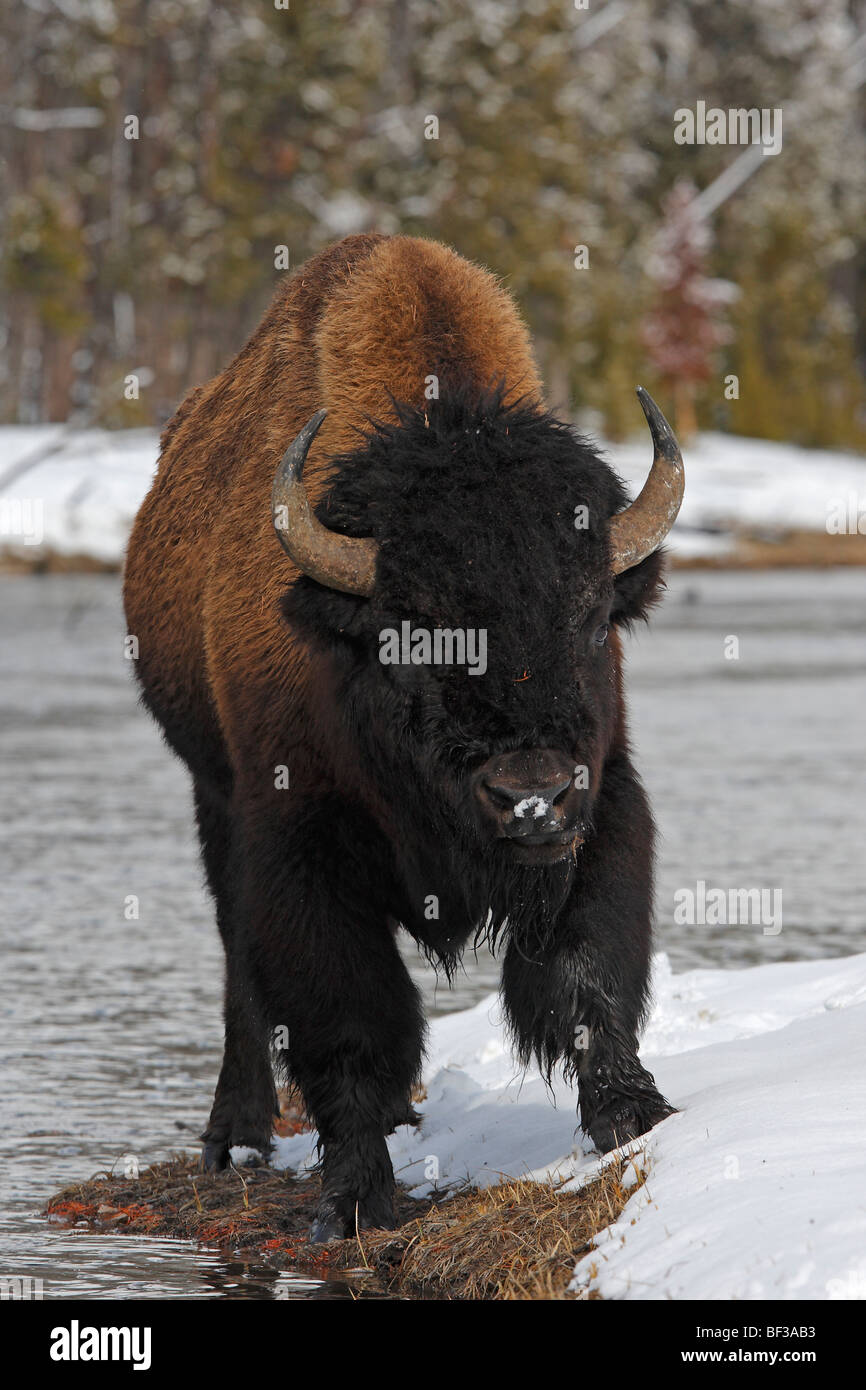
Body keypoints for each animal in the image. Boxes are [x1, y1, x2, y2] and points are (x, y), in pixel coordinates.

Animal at [123, 233, 682, 1241]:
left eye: (591, 619)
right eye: (409, 631)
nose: (530, 793)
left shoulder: (604, 805)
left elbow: (588, 978)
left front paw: (637, 1117)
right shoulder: (298, 843)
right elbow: (348, 1020)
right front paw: (351, 1201)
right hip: (213, 798)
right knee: (240, 969)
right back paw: (238, 1135)